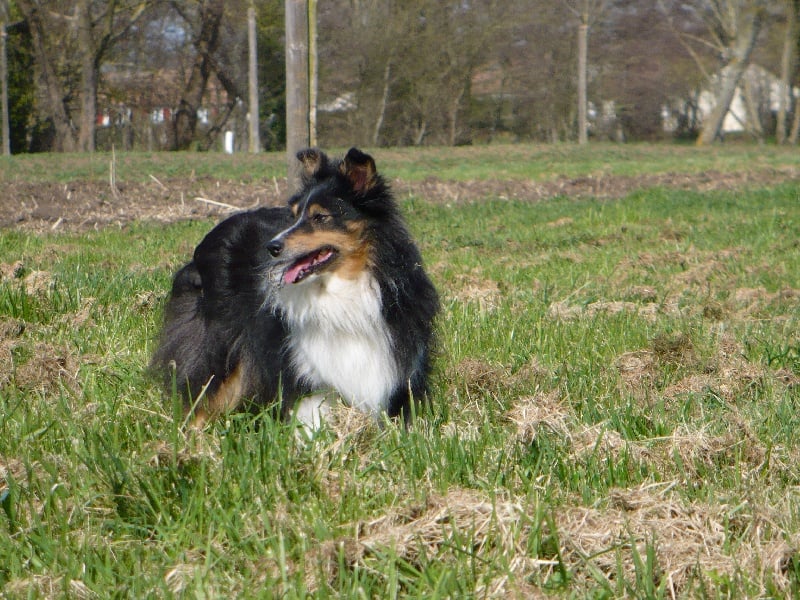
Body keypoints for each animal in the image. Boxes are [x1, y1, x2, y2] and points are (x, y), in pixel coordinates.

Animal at [153, 148, 440, 428]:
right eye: (292, 216)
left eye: (320, 217)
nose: (272, 247)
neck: (343, 286)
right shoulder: (305, 366)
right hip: (219, 343)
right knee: (204, 392)